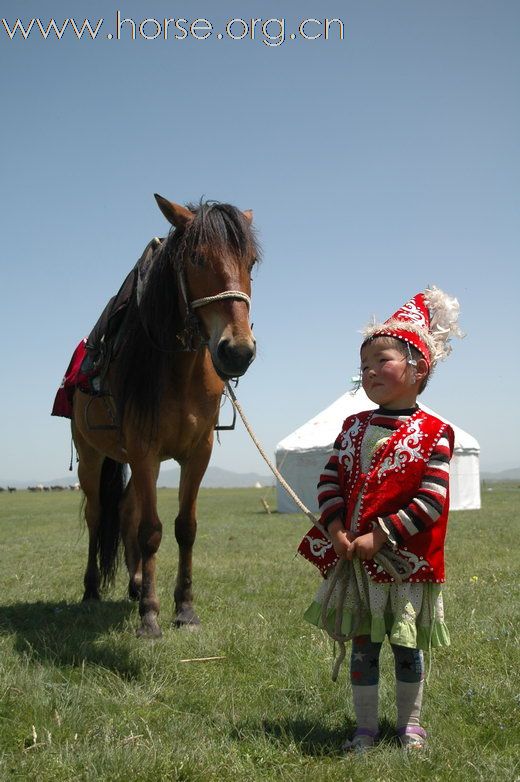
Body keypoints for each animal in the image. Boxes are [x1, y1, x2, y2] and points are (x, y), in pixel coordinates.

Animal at [70, 194, 258, 636]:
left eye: (251, 262)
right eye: (196, 257)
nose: (237, 351)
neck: (178, 370)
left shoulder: (197, 452)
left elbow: (184, 528)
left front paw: (185, 609)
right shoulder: (144, 450)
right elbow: (151, 531)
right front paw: (151, 616)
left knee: (125, 512)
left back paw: (136, 584)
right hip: (92, 456)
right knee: (97, 515)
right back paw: (92, 590)